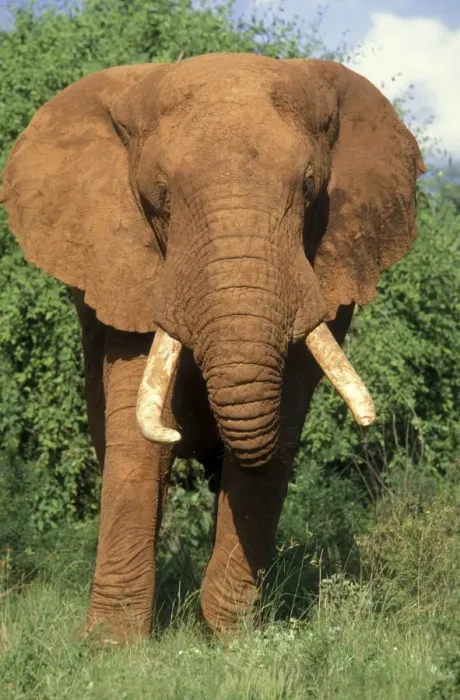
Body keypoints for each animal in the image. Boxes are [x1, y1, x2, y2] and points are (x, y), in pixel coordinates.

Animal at [0, 53, 425, 643]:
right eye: (159, 195)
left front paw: (231, 639)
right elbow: (138, 443)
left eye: (309, 186)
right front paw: (110, 647)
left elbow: (281, 427)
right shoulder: (128, 267)